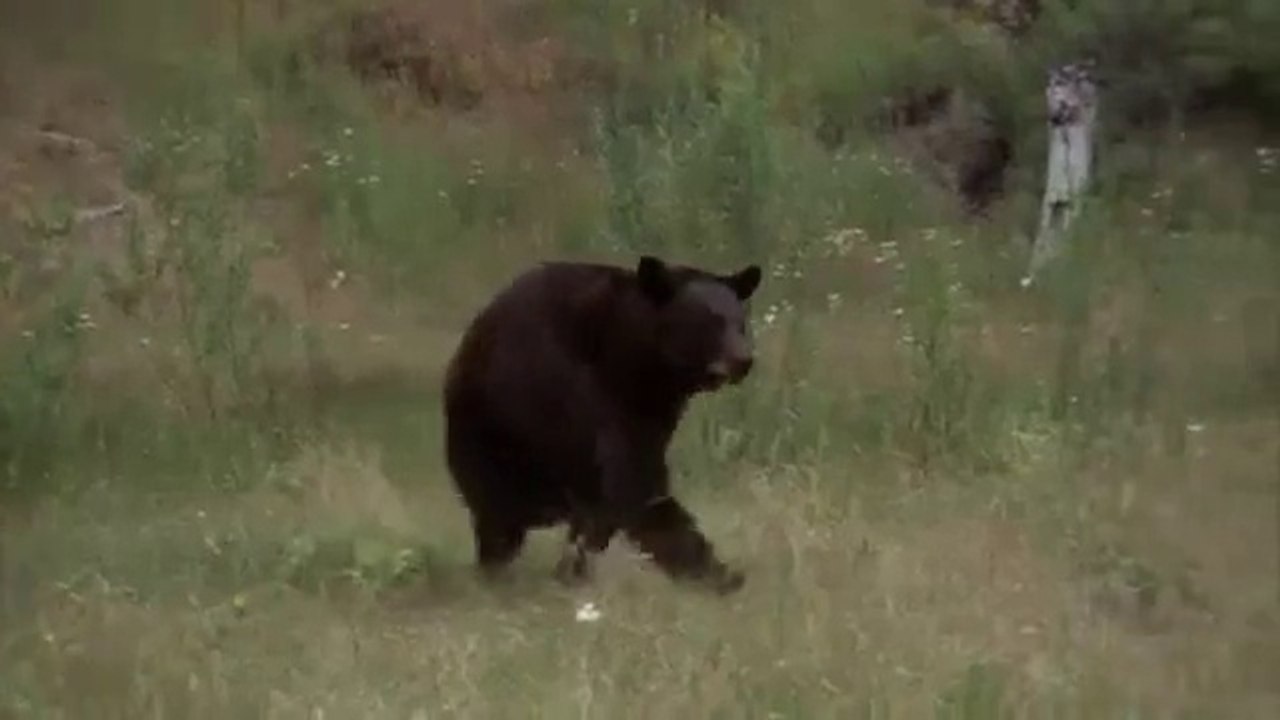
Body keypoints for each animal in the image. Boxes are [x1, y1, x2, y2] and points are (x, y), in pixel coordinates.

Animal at [441, 254, 763, 595]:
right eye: (711, 321)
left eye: (741, 323)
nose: (743, 360)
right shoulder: (585, 398)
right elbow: (634, 488)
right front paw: (719, 573)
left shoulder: (649, 416)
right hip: (489, 443)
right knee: (498, 520)